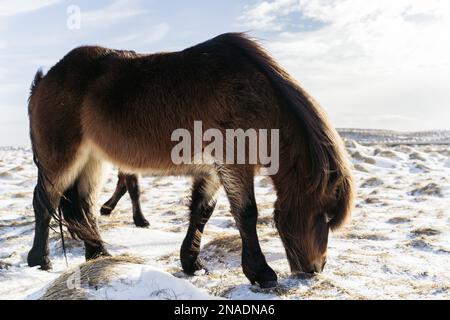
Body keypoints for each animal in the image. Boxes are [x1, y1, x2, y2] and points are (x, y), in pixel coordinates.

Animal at [27, 32, 356, 288]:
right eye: (326, 214)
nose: (315, 268)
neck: (257, 96)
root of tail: (45, 79)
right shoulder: (234, 164)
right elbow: (246, 214)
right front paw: (261, 273)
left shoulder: (214, 170)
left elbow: (201, 212)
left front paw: (191, 263)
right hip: (61, 159)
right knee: (45, 202)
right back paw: (40, 260)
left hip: (92, 161)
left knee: (81, 207)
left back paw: (98, 253)